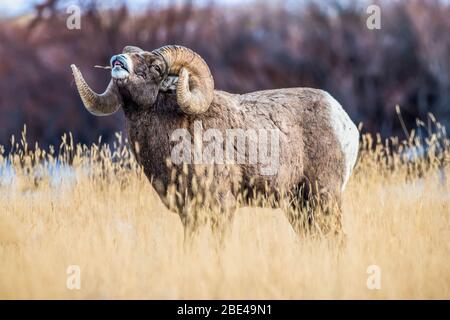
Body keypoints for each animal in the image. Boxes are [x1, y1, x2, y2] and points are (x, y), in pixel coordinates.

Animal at [70, 45, 358, 234]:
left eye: (157, 67)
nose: (118, 61)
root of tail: (345, 123)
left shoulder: (222, 207)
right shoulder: (189, 214)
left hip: (324, 197)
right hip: (298, 206)